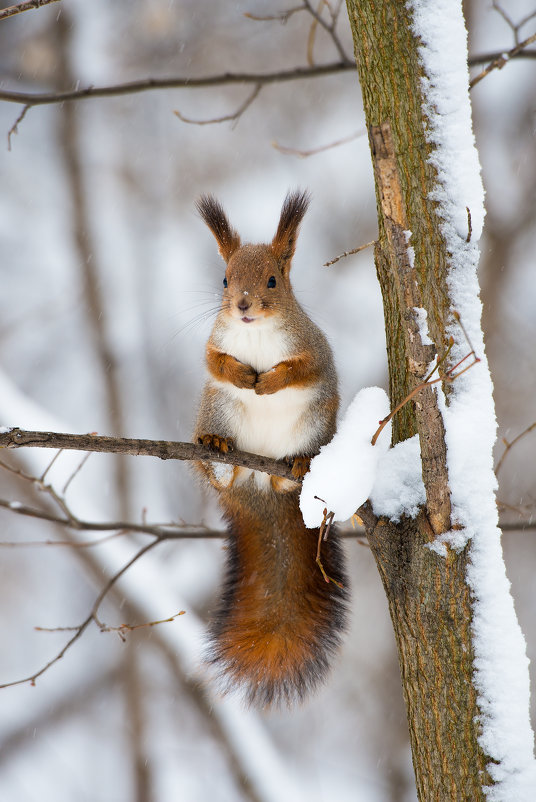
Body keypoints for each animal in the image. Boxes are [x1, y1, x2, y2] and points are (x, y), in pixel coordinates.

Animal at [193, 191, 348, 704]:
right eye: (225, 279)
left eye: (273, 281)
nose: (242, 306)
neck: (256, 331)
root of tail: (258, 484)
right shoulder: (215, 341)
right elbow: (215, 362)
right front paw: (243, 375)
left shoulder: (313, 348)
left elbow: (302, 369)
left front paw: (270, 382)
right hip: (217, 410)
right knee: (223, 467)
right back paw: (219, 455)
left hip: (315, 422)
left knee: (290, 472)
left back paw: (294, 467)